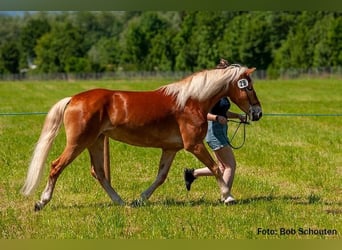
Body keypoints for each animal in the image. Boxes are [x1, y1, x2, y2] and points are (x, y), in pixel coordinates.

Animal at [21, 61, 262, 210]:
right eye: (248, 87)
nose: (257, 113)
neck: (191, 101)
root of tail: (73, 99)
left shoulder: (170, 149)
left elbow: (160, 177)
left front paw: (141, 199)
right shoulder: (194, 145)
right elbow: (215, 168)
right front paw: (228, 196)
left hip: (96, 142)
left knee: (98, 172)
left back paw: (121, 202)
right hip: (78, 143)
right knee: (56, 166)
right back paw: (41, 202)